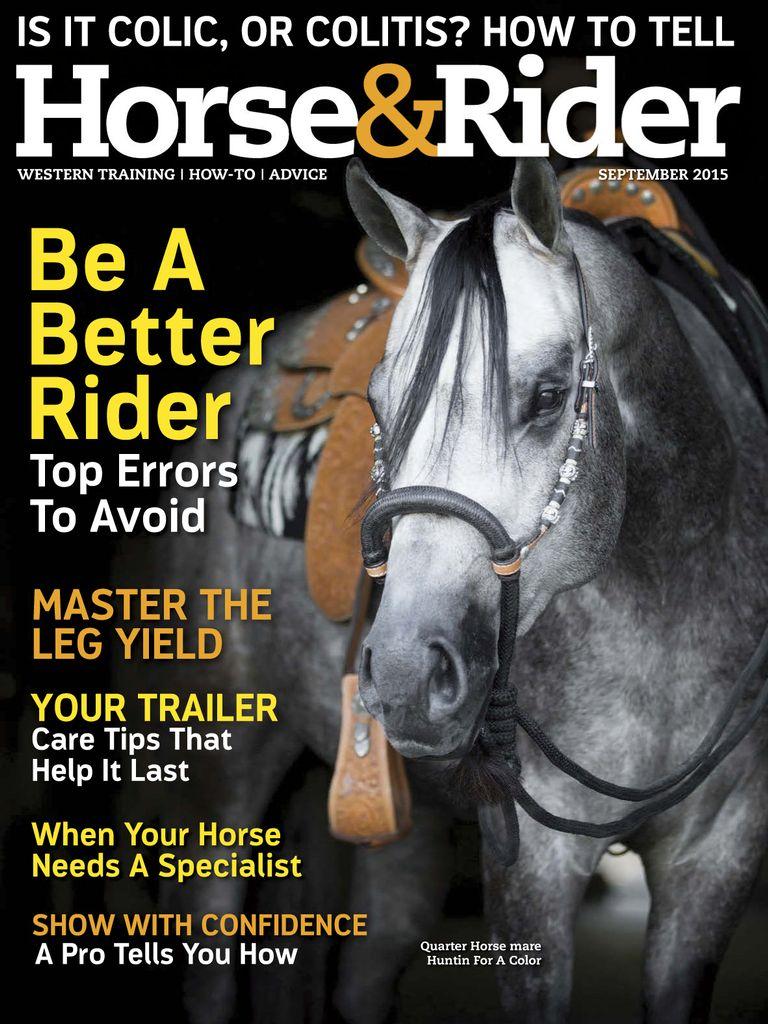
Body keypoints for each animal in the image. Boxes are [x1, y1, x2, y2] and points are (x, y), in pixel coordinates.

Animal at [113, 157, 768, 1024]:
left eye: (549, 396)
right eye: (380, 404)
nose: (404, 674)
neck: (670, 596)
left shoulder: (718, 858)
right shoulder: (534, 862)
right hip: (222, 775)